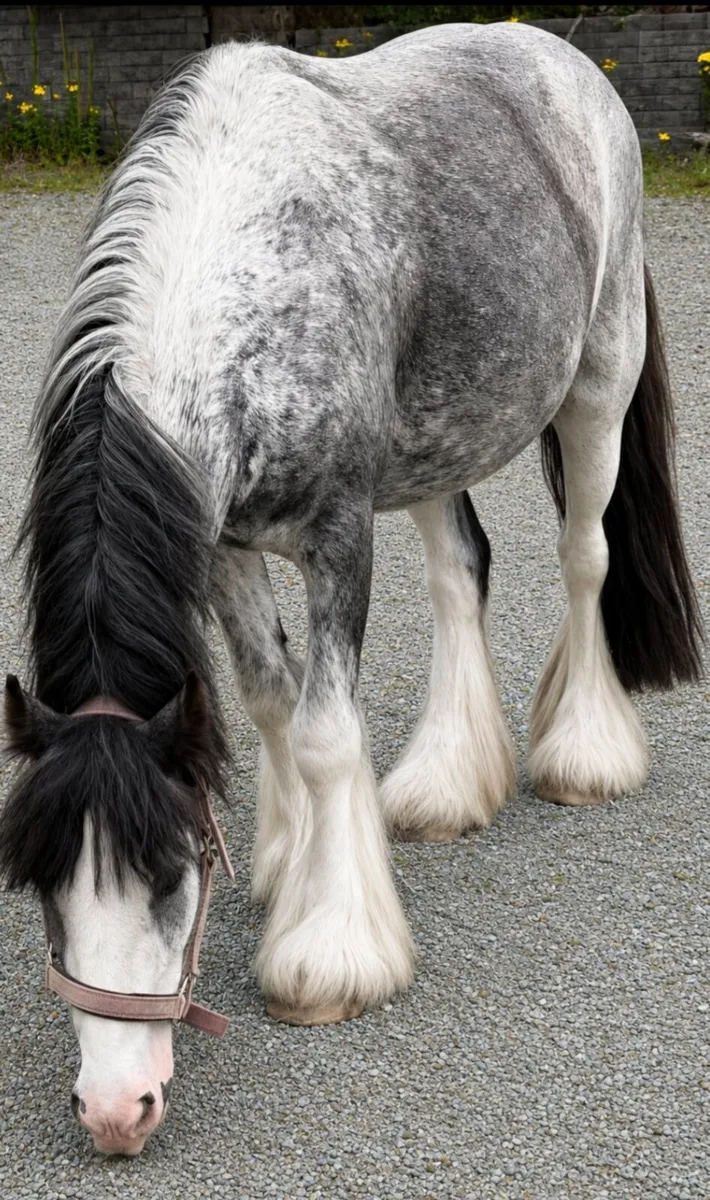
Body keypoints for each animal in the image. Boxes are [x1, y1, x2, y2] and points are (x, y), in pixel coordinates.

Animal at [1, 21, 702, 1156]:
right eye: (40, 879)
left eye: (168, 872)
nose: (115, 1110)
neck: (247, 270)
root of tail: (560, 60)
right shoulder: (221, 543)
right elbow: (269, 697)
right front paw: (291, 859)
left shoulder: (336, 536)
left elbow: (327, 732)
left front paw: (329, 948)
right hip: (438, 441)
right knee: (460, 574)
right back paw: (444, 786)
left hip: (597, 384)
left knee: (583, 559)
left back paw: (584, 755)